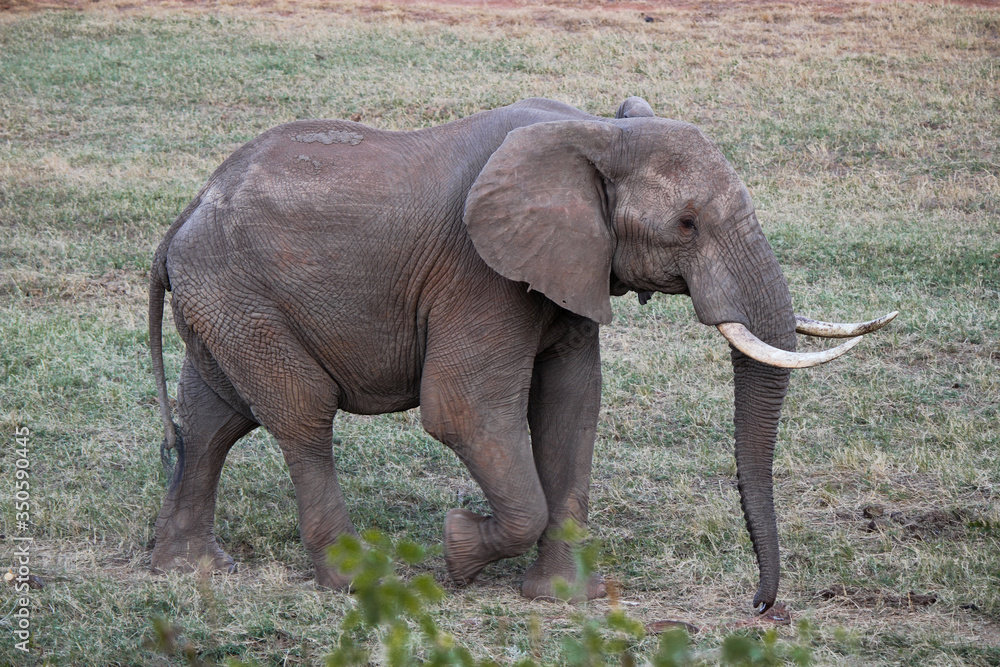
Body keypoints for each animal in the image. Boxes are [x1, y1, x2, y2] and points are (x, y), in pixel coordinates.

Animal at [148, 96, 895, 611]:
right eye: (686, 224)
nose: (760, 606)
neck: (594, 130)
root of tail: (184, 215)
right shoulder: (478, 272)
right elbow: (464, 411)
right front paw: (457, 551)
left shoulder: (568, 270)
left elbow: (572, 406)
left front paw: (560, 599)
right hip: (242, 295)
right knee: (302, 416)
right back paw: (355, 580)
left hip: (227, 301)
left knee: (215, 416)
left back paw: (190, 568)